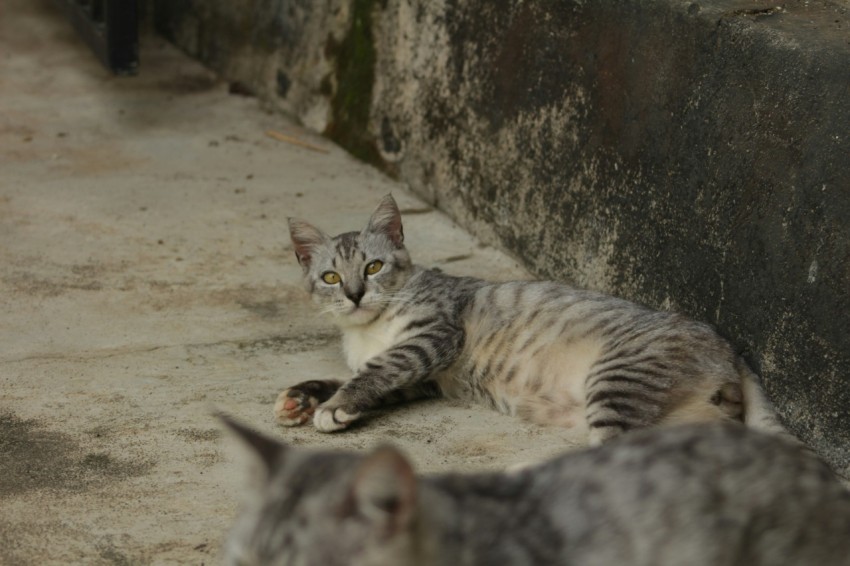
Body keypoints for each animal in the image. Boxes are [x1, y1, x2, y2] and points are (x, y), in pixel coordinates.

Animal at [276, 196, 780, 448]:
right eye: (331, 276)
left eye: (374, 267)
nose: (355, 294)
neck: (368, 330)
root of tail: (728, 347)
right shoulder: (425, 378)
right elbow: (366, 376)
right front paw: (304, 397)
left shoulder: (433, 336)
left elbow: (375, 371)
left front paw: (336, 404)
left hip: (618, 379)